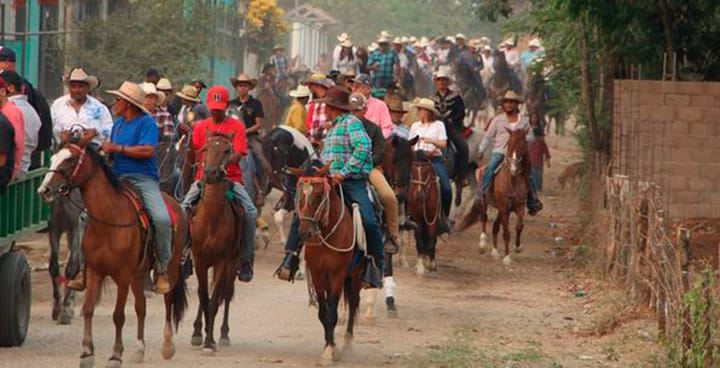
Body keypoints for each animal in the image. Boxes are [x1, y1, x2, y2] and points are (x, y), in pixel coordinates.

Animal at [47, 190, 82, 324]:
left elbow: (72, 268)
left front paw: (66, 311)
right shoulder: (55, 228)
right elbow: (53, 267)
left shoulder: (77, 227)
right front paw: (57, 308)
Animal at [188, 132, 245, 354]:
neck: (211, 220)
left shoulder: (222, 261)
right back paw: (198, 331)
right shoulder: (200, 261)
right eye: (205, 148)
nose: (211, 173)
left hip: (233, 262)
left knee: (226, 294)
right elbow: (204, 297)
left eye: (227, 150)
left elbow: (213, 301)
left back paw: (223, 334)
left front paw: (210, 342)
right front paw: (200, 335)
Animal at [290, 165, 362, 366]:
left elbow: (332, 314)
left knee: (353, 302)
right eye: (298, 195)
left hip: (356, 274)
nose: (304, 232)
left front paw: (331, 351)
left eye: (319, 194)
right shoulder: (318, 274)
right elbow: (324, 313)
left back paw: (348, 344)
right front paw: (328, 346)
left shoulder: (338, 274)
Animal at [458, 129, 532, 264]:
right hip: (484, 201)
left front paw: (517, 247)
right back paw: (482, 244)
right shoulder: (504, 207)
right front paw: (507, 257)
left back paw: (495, 251)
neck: (512, 181)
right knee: (484, 218)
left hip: (500, 209)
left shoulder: (519, 206)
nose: (513, 168)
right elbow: (506, 232)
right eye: (509, 143)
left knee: (495, 226)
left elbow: (519, 226)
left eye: (524, 145)